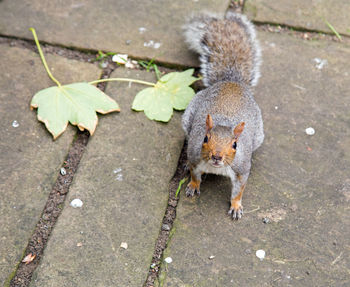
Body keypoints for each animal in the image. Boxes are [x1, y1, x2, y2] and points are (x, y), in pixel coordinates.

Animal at [182, 11, 264, 220]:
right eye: (205, 138)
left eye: (235, 144)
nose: (217, 156)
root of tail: (231, 82)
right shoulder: (195, 158)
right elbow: (194, 174)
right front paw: (193, 186)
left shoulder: (241, 170)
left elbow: (238, 190)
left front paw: (236, 206)